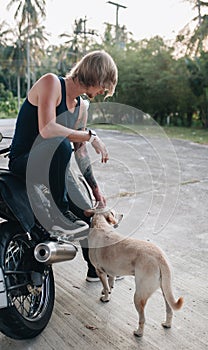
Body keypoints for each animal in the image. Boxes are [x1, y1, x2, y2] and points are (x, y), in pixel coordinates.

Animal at [88, 209, 184, 338]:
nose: (122, 214)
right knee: (169, 310)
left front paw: (106, 297)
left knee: (142, 319)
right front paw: (107, 291)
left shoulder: (100, 271)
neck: (101, 225)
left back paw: (139, 332)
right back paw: (167, 324)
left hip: (139, 296)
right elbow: (110, 283)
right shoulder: (111, 271)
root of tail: (160, 257)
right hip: (165, 291)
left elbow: (106, 285)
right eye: (113, 212)